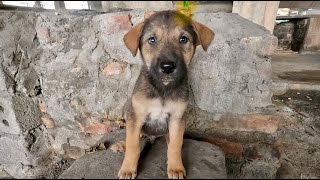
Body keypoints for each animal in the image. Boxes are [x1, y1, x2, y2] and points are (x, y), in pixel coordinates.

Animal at [118, 10, 215, 179]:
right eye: (152, 40)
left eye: (183, 39)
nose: (167, 67)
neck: (163, 88)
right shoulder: (136, 115)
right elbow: (133, 145)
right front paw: (128, 169)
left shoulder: (177, 118)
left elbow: (176, 145)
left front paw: (175, 167)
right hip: (127, 108)